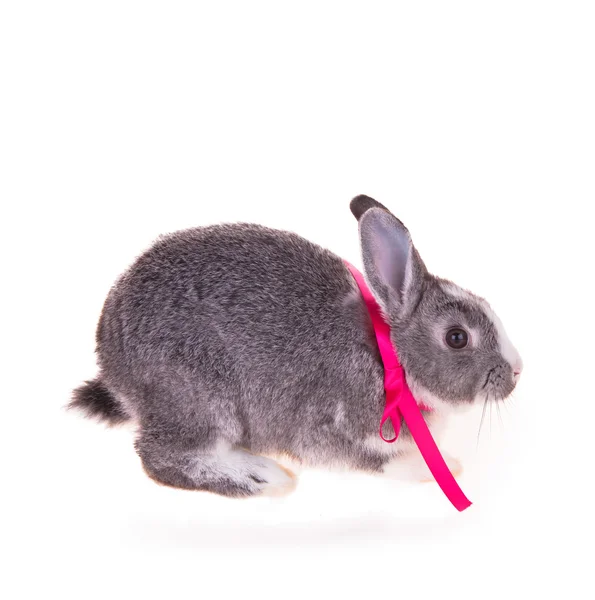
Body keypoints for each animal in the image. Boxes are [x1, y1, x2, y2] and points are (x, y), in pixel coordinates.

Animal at [72, 197, 524, 496]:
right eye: (457, 337)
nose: (516, 371)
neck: (389, 356)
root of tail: (112, 364)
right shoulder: (332, 429)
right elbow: (380, 461)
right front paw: (438, 468)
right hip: (199, 399)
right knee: (160, 457)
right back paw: (261, 476)